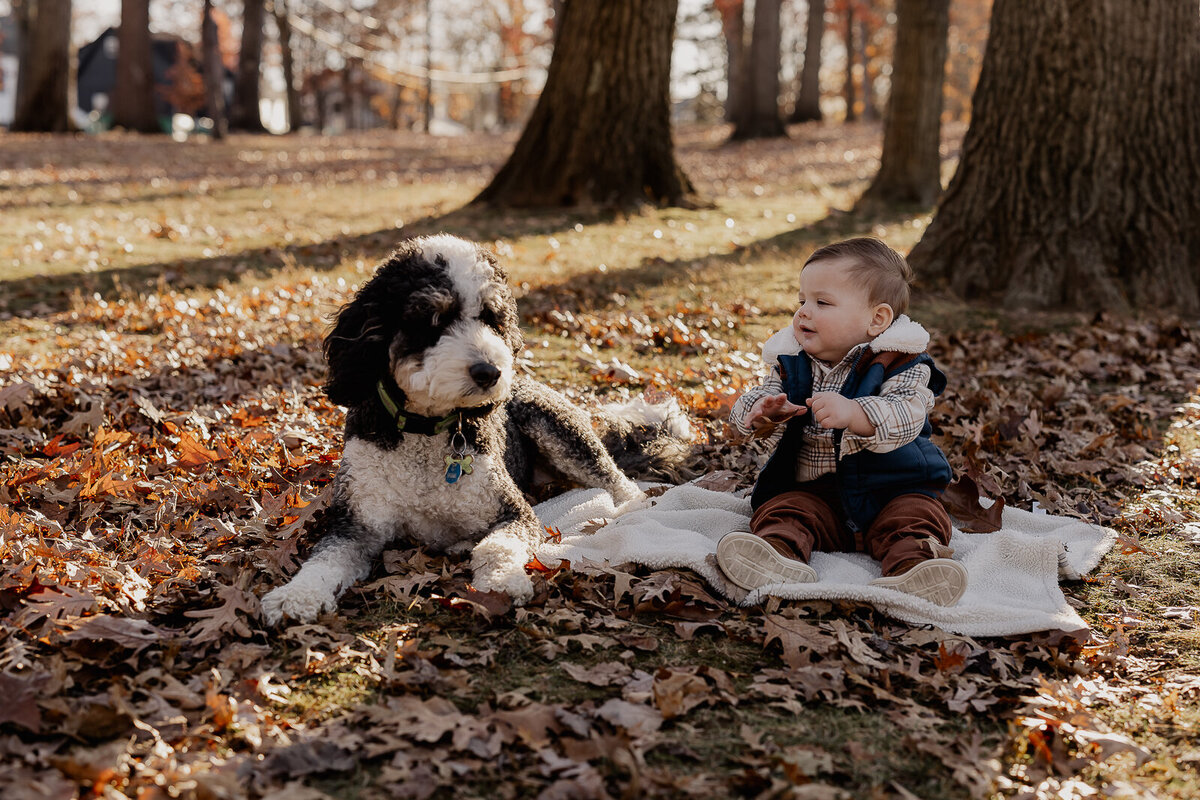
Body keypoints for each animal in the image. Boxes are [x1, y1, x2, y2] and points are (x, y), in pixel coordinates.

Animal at [266, 235, 691, 623]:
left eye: (492, 318)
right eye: (432, 319)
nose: (490, 372)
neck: (426, 432)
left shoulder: (515, 512)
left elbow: (494, 547)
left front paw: (501, 582)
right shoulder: (356, 523)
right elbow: (324, 559)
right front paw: (296, 595)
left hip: (557, 428)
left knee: (616, 479)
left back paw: (632, 507)